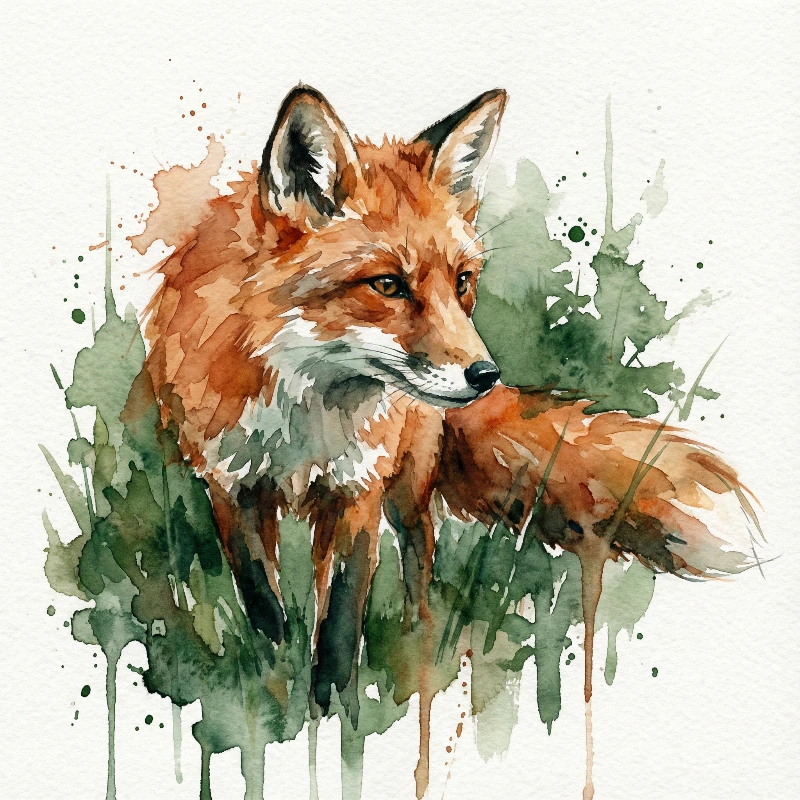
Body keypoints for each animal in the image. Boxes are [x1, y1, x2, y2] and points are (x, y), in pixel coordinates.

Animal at [141, 84, 759, 752]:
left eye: (462, 281)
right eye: (388, 284)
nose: (485, 374)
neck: (305, 412)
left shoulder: (358, 488)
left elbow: (339, 623)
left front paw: (332, 719)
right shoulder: (231, 485)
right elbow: (263, 603)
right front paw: (276, 681)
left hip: (407, 483)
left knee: (420, 556)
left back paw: (419, 641)